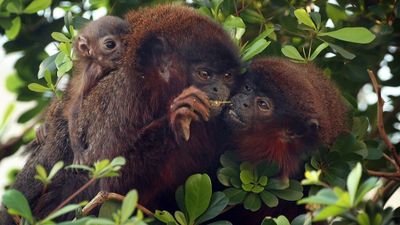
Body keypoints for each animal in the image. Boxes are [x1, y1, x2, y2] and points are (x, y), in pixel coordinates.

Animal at [65, 15, 129, 158]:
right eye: (110, 45)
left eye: (126, 42)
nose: (122, 51)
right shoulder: (92, 72)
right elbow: (75, 108)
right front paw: (77, 149)